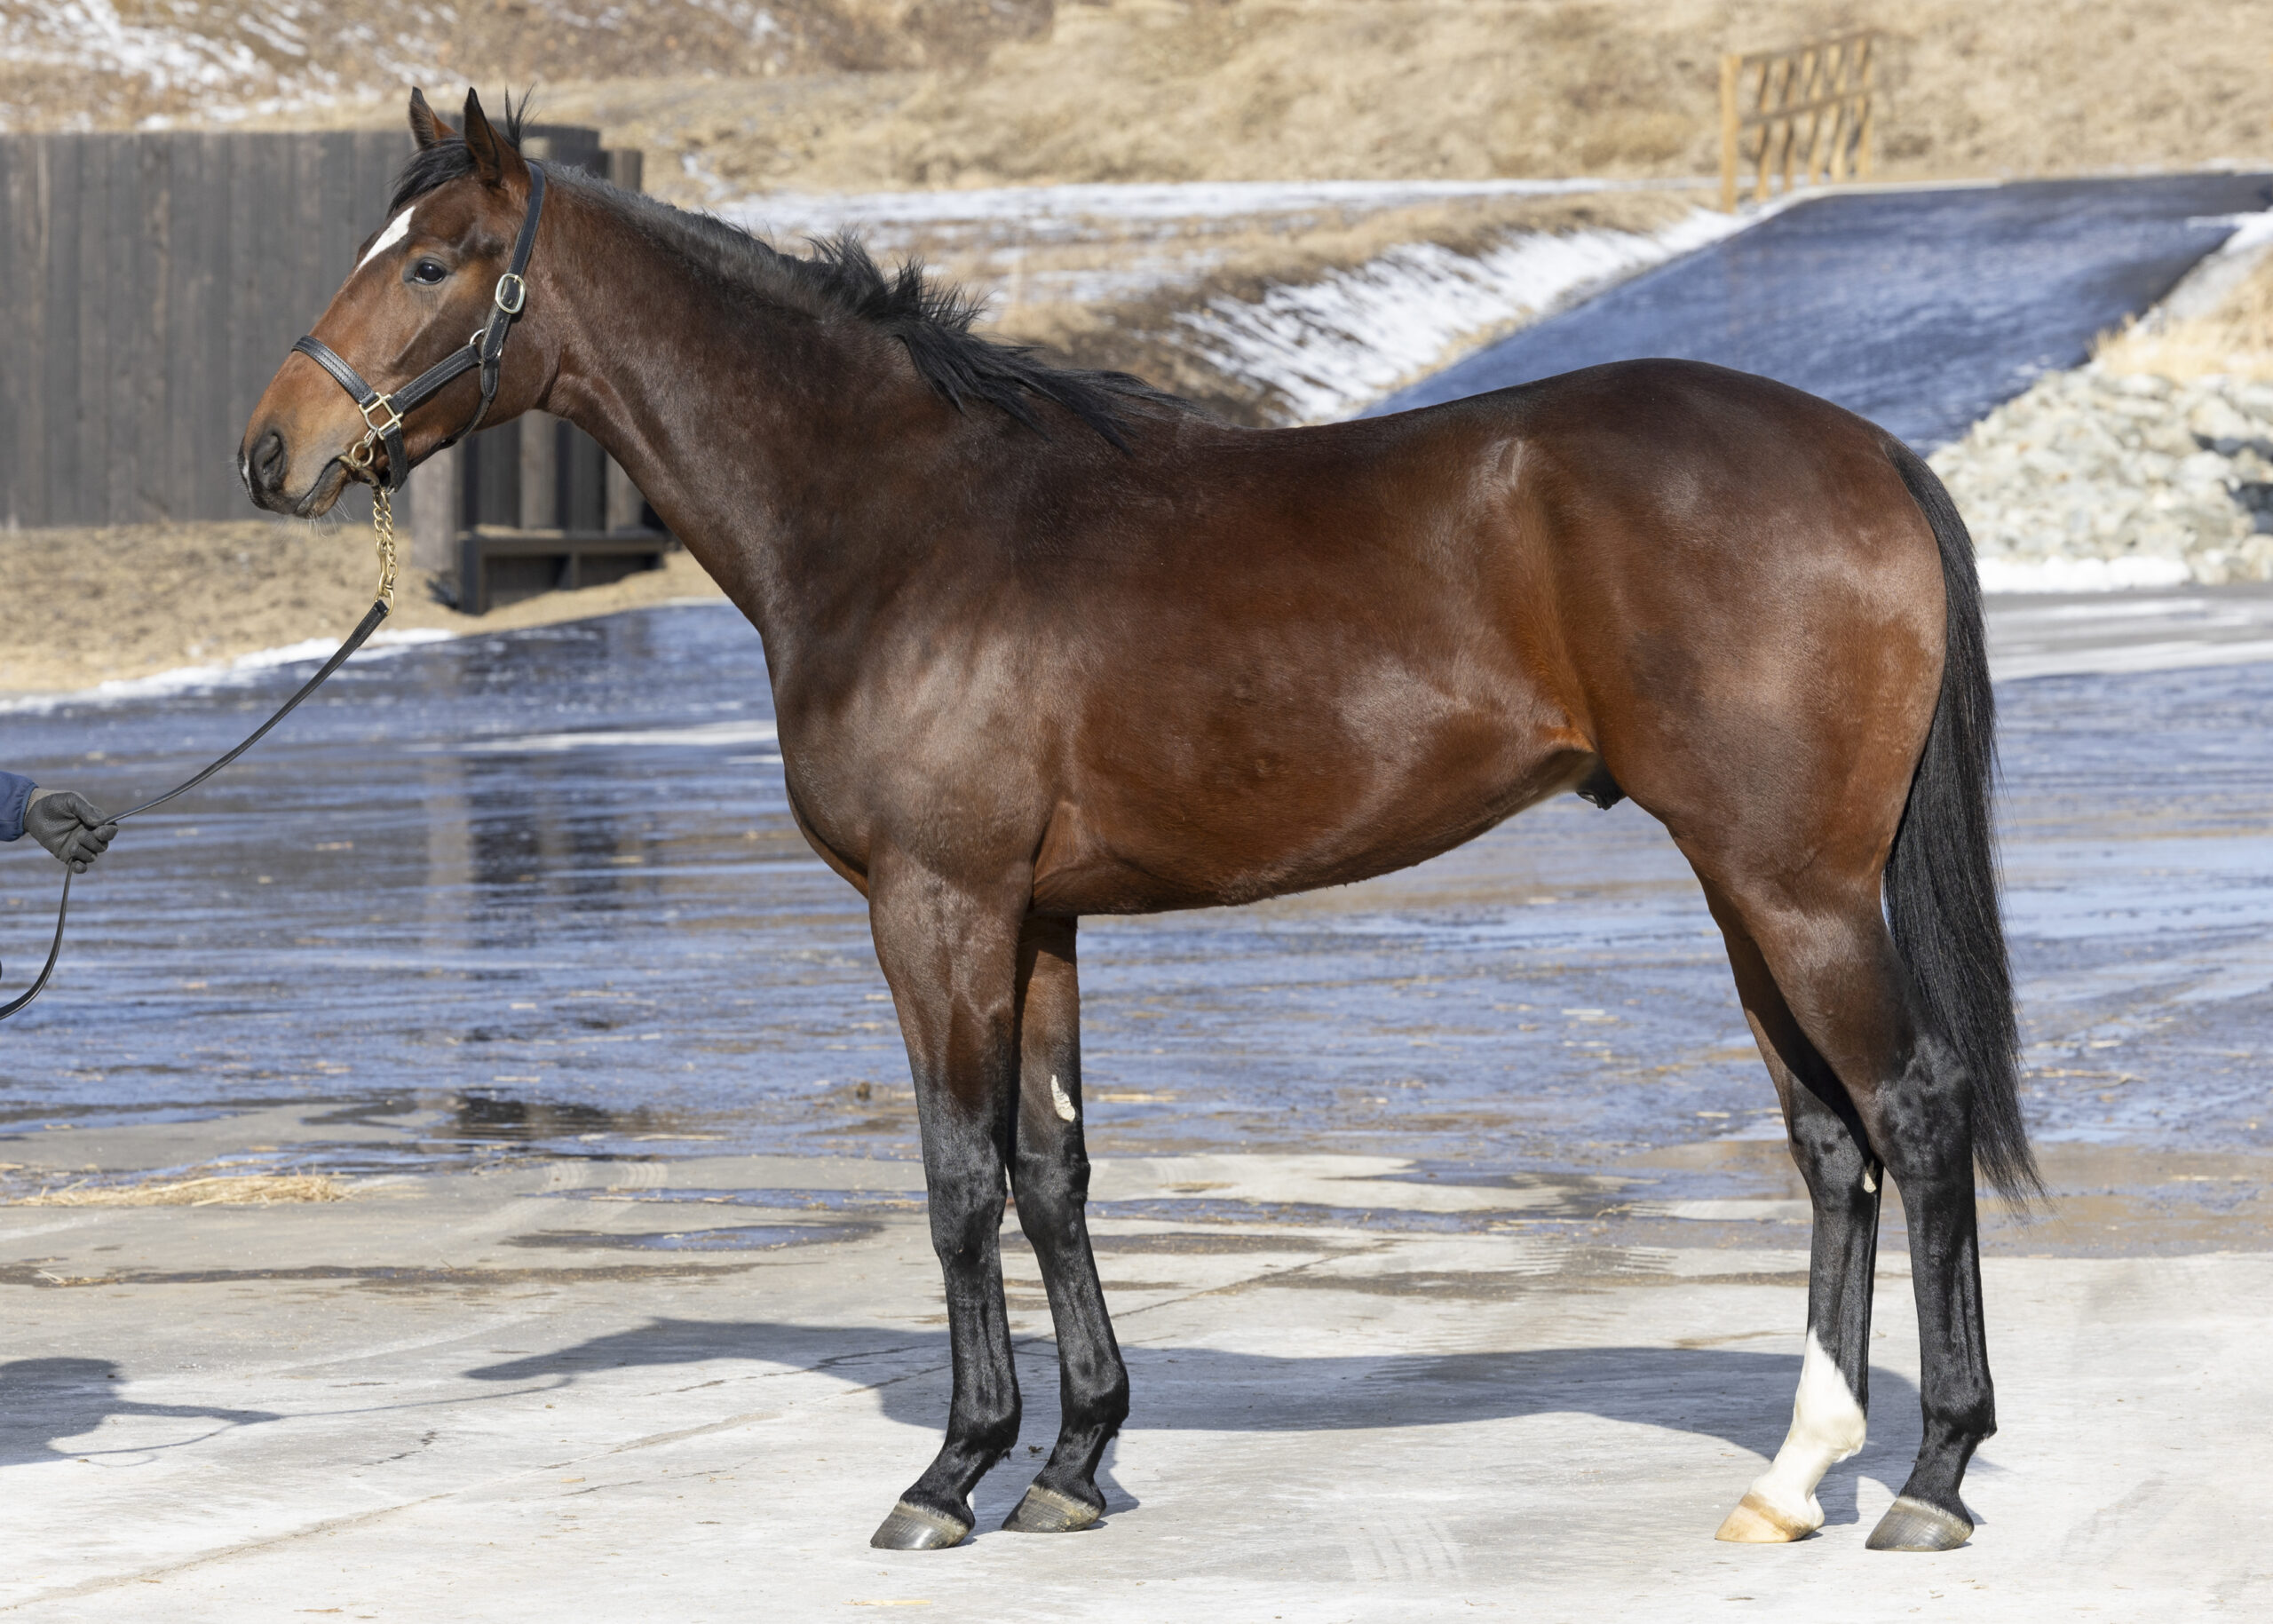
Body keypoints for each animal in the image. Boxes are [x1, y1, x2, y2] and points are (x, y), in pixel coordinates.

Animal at [242, 89, 2038, 1555]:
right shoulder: (1037, 915)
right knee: (1831, 1145)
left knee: (1916, 1109)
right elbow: (1054, 1170)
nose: (274, 451)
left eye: (433, 264)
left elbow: (956, 1173)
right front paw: (1071, 1460)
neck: (898, 520)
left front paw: (950, 1471)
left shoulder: (936, 904)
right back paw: (1792, 1479)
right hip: (1751, 885)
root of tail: (1868, 452)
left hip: (1797, 885)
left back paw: (1936, 1476)